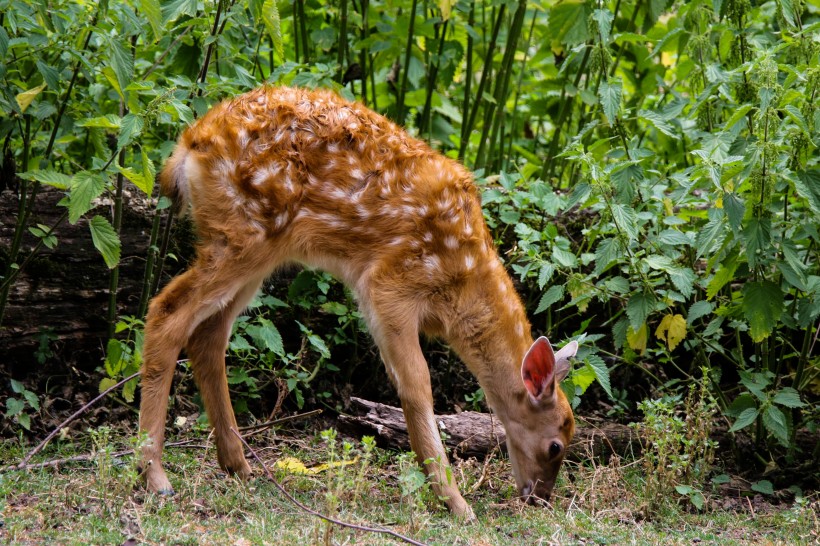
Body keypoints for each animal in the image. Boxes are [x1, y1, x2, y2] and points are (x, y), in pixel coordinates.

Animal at [139, 86, 576, 520]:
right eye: (555, 446)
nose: (539, 497)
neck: (462, 289)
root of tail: (188, 145)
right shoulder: (389, 284)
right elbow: (417, 385)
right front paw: (455, 502)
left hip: (252, 252)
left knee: (208, 336)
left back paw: (237, 465)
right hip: (244, 233)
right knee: (166, 312)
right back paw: (155, 476)